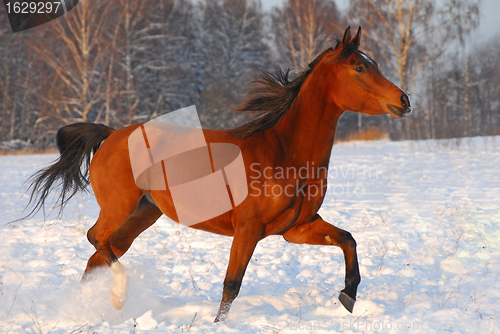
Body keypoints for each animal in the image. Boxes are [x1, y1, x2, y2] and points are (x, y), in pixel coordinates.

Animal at [24, 27, 410, 322]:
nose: (405, 100)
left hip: (141, 214)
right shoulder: (248, 229)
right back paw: (118, 295)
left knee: (97, 256)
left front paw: (348, 296)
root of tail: (111, 134)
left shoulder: (297, 229)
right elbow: (231, 285)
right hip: (119, 208)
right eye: (359, 67)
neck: (283, 151)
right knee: (95, 239)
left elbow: (348, 239)